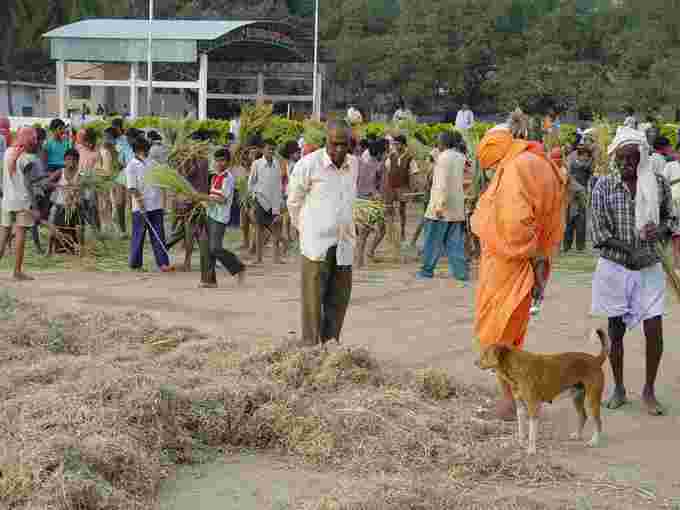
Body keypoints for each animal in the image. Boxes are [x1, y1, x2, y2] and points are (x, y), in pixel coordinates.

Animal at [476, 330, 608, 454]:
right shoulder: (520, 408)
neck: (516, 366)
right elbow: (521, 430)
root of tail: (595, 360)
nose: (475, 362)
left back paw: (594, 441)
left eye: (486, 354)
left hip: (592, 400)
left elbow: (531, 433)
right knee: (583, 416)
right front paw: (520, 443)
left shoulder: (533, 406)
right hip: (577, 397)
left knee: (598, 422)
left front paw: (531, 450)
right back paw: (577, 435)